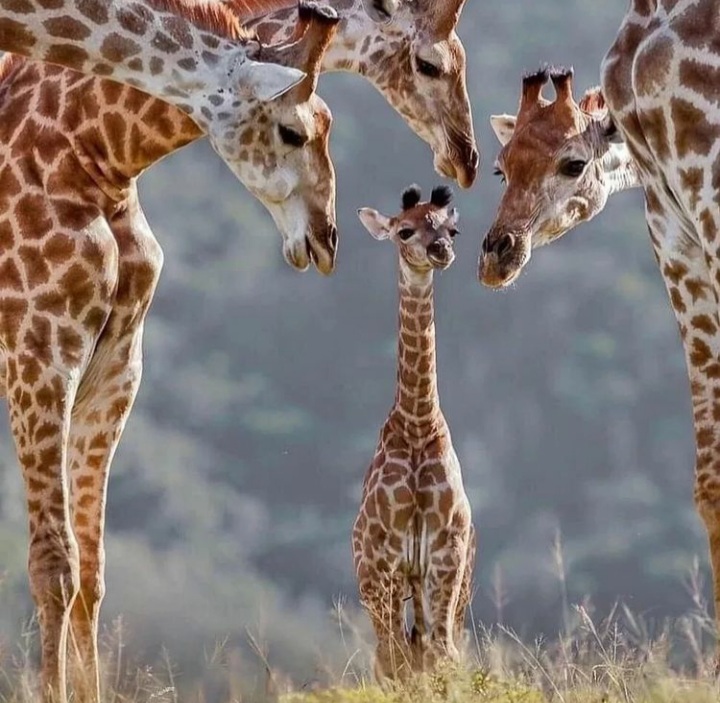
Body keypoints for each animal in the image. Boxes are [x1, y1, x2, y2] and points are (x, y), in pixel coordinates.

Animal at [0, 1, 340, 701]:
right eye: (293, 131)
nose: (326, 239)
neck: (93, 157)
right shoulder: (36, 350)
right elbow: (54, 562)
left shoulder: (114, 369)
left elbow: (92, 570)